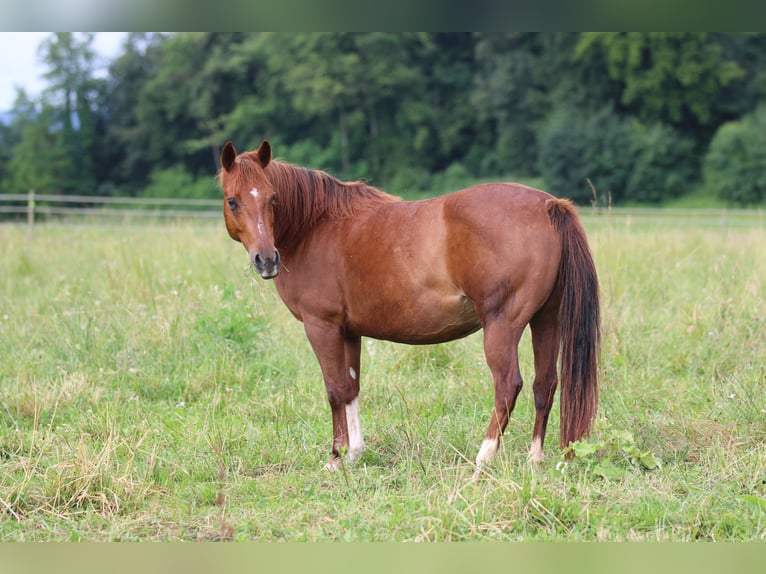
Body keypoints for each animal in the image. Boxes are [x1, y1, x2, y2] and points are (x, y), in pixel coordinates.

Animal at [216, 141, 600, 482]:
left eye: (272, 199)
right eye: (233, 200)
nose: (267, 260)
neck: (315, 226)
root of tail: (548, 204)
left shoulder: (321, 326)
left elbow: (334, 389)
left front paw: (335, 458)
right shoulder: (349, 331)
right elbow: (351, 387)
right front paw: (355, 454)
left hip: (503, 325)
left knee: (508, 385)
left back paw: (483, 459)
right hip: (546, 320)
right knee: (544, 383)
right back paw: (536, 460)